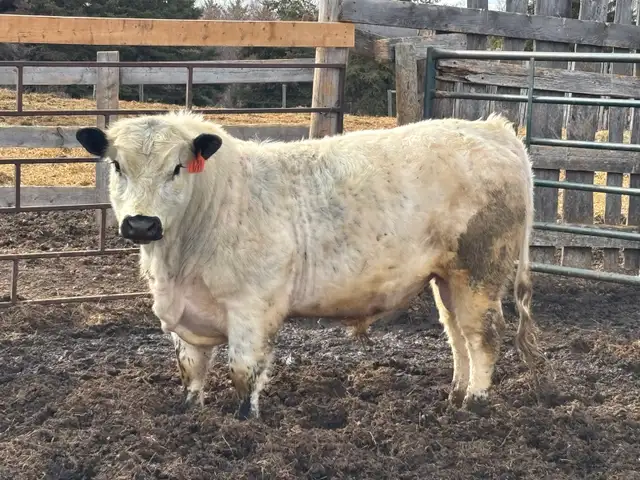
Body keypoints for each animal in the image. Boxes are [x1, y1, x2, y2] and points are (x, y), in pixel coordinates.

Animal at [75, 110, 542, 420]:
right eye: (117, 165)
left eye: (177, 168)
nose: (141, 223)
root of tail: (491, 129)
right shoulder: (187, 315)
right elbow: (191, 369)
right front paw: (191, 413)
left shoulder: (254, 306)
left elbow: (244, 371)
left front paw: (244, 422)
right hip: (446, 278)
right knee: (456, 334)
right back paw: (455, 396)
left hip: (479, 271)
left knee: (483, 336)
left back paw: (475, 403)